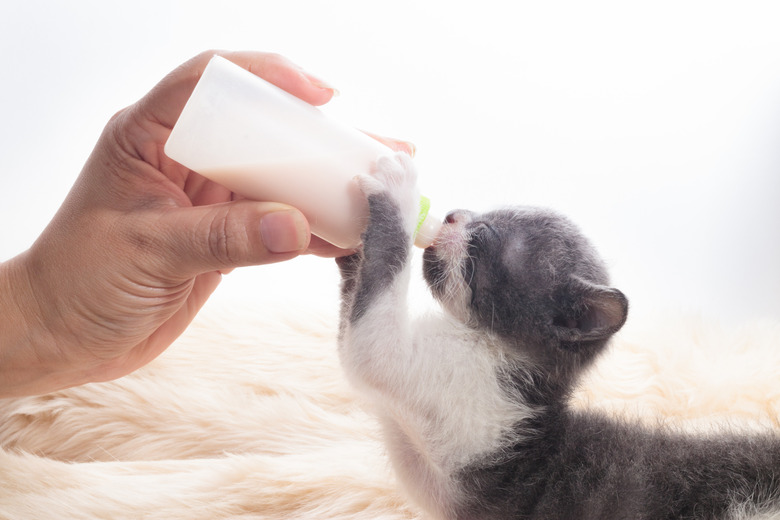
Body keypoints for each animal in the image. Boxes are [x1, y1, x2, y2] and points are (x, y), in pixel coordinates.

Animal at [336, 152, 780, 516]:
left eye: (483, 237)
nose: (449, 214)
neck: (492, 348)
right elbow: (354, 311)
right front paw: (348, 251)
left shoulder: (459, 395)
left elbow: (373, 340)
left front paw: (398, 192)